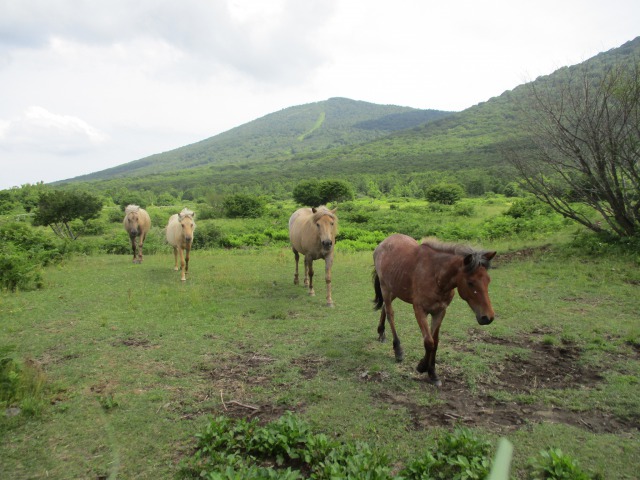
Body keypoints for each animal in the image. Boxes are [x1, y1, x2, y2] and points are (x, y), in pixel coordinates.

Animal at [372, 232, 498, 386]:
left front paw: (432, 373)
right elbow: (429, 342)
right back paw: (398, 350)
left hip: (395, 289)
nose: (488, 317)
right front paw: (422, 367)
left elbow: (435, 342)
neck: (436, 275)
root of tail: (382, 243)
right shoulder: (420, 310)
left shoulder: (440, 311)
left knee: (384, 307)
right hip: (386, 288)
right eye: (470, 282)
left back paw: (381, 333)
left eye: (488, 280)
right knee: (390, 314)